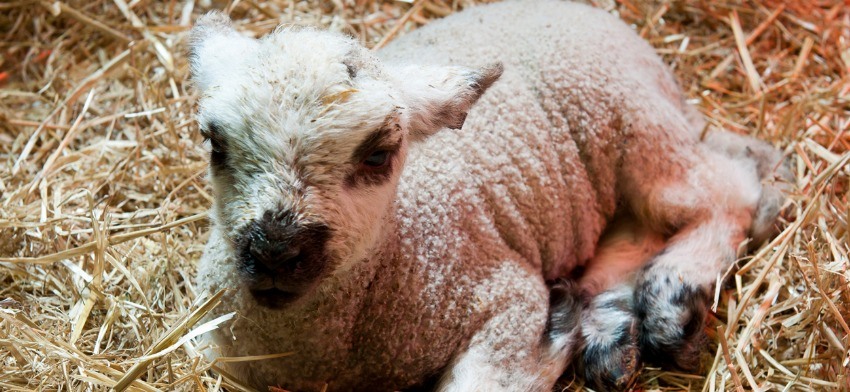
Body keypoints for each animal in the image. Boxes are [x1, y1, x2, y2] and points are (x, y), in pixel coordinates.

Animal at [189, 1, 784, 390]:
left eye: (379, 154)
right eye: (215, 142)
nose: (274, 252)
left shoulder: (504, 297)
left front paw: (557, 335)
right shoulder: (211, 344)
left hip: (637, 127)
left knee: (727, 191)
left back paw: (670, 301)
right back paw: (606, 333)